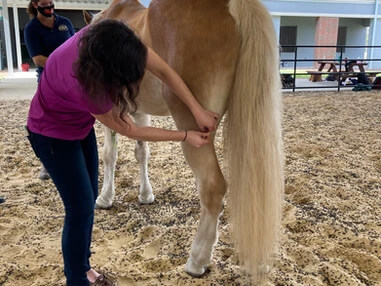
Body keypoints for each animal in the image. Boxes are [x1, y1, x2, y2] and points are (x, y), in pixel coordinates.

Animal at [85, 0, 282, 280]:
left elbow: (109, 155)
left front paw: (104, 198)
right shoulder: (138, 112)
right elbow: (142, 152)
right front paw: (145, 194)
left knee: (213, 187)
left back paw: (197, 261)